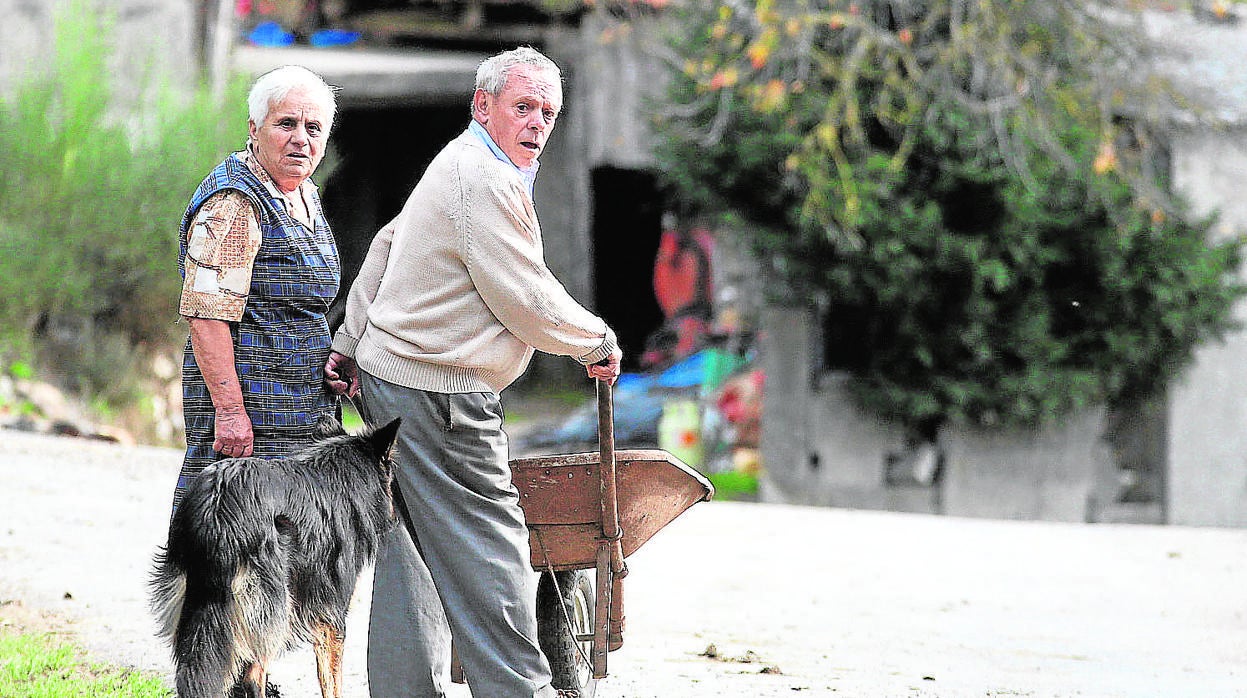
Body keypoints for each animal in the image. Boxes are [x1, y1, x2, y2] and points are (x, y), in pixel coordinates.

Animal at [146, 416, 401, 693]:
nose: (397, 519)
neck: (340, 478)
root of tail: (218, 510)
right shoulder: (332, 618)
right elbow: (332, 682)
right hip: (272, 607)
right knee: (253, 674)